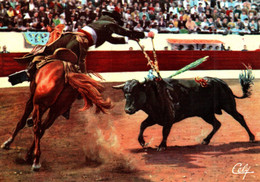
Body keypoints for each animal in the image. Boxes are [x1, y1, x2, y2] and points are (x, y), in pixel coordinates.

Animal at [112, 74, 255, 150]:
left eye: (136, 92)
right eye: (125, 94)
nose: (128, 110)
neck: (154, 94)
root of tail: (220, 81)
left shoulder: (168, 119)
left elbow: (165, 132)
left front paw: (161, 146)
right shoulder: (154, 117)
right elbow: (142, 125)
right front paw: (142, 142)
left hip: (228, 106)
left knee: (240, 118)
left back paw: (251, 137)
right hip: (206, 113)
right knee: (217, 124)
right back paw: (205, 140)